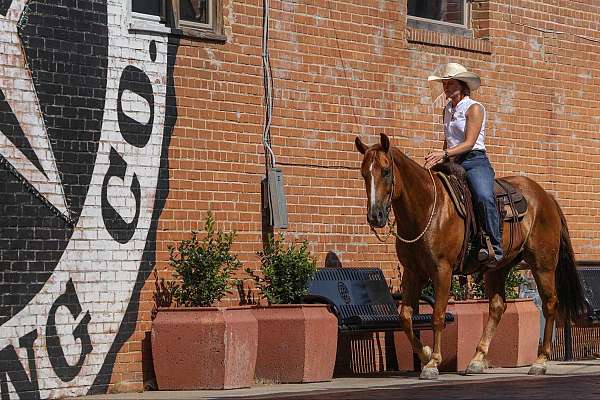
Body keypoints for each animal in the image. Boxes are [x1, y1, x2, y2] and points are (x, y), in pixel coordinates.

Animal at [354, 134, 584, 378]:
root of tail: (545, 196)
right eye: (364, 173)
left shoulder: (442, 270)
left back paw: (540, 361)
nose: (375, 216)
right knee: (497, 306)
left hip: (542, 264)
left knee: (550, 304)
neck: (427, 208)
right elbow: (405, 317)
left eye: (386, 171)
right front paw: (425, 353)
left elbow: (438, 316)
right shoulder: (412, 272)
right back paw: (477, 359)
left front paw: (433, 362)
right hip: (497, 268)